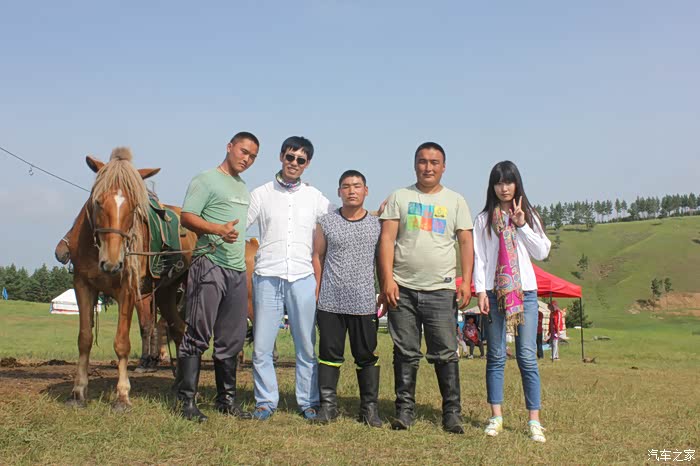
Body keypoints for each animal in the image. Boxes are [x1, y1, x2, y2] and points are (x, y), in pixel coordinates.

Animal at [64, 147, 196, 410]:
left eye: (134, 206)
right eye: (97, 201)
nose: (113, 262)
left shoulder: (127, 289)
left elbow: (122, 342)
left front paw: (122, 395)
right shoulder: (82, 285)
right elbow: (84, 338)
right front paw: (78, 391)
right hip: (166, 293)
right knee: (177, 329)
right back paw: (178, 382)